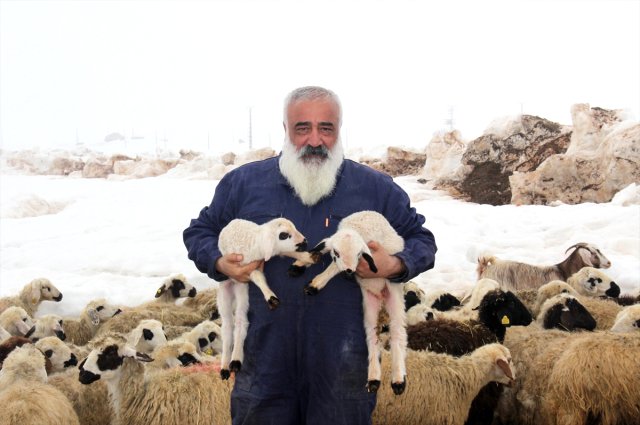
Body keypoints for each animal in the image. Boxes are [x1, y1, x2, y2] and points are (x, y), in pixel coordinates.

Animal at [218, 217, 316, 380]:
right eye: (284, 235)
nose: (304, 242)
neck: (257, 240)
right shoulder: (246, 268)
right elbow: (258, 277)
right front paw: (271, 297)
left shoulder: (274, 251)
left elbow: (288, 251)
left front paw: (307, 257)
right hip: (224, 290)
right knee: (226, 327)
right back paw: (225, 366)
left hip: (242, 290)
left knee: (241, 321)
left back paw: (236, 360)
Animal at [302, 212, 408, 394]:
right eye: (336, 252)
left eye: (359, 255)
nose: (349, 273)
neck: (356, 226)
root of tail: (381, 295)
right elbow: (320, 249)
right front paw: (300, 263)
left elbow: (332, 268)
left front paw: (315, 285)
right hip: (370, 305)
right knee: (372, 336)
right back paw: (373, 379)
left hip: (395, 296)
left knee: (397, 334)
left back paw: (398, 380)